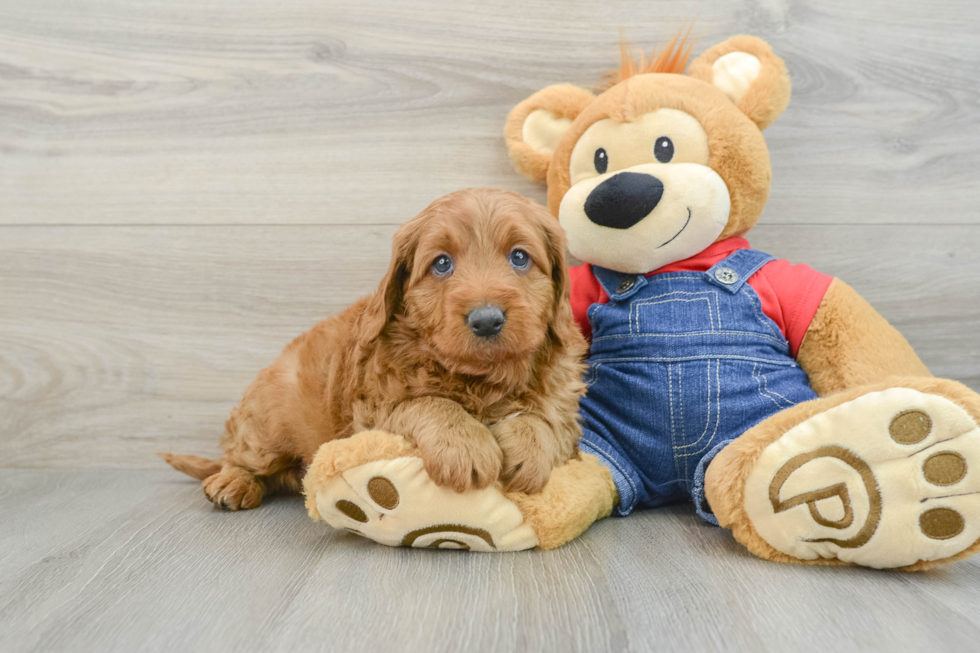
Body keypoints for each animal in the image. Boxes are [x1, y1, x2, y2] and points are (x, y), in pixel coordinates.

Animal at [164, 186, 584, 506]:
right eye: (442, 264)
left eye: (519, 257)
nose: (486, 319)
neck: (480, 379)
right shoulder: (373, 411)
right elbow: (428, 403)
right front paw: (464, 444)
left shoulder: (564, 406)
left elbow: (546, 418)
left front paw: (529, 449)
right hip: (267, 427)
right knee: (239, 456)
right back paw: (232, 482)